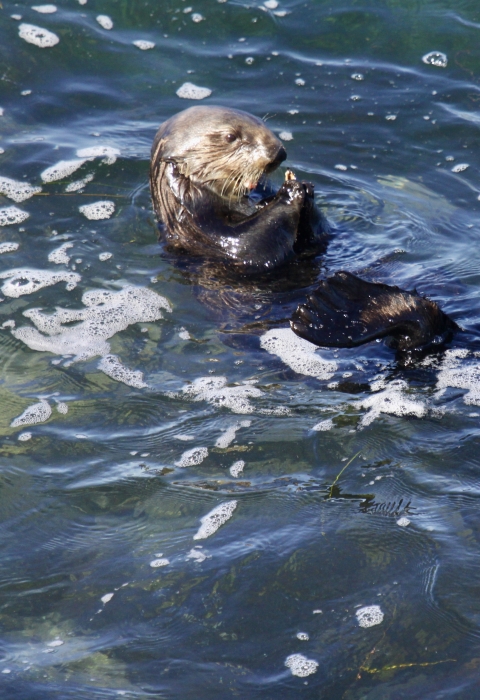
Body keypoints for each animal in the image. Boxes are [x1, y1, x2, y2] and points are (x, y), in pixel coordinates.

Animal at [150, 105, 457, 354]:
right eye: (230, 137)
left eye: (263, 124)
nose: (279, 152)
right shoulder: (201, 231)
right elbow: (251, 246)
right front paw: (289, 193)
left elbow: (319, 238)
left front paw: (300, 189)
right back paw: (334, 299)